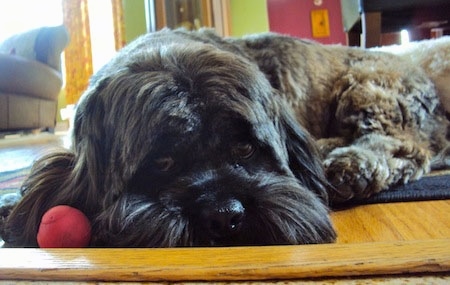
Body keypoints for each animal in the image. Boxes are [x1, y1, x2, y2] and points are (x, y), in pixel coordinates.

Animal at [0, 29, 450, 246]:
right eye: (162, 162)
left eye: (245, 147)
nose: (224, 215)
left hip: (368, 88)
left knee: (404, 145)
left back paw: (348, 164)